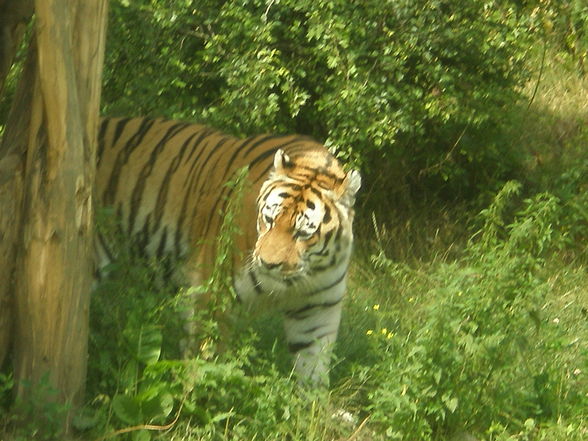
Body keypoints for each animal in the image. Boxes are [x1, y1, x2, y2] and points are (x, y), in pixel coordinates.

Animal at [94, 117, 360, 384]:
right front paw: (198, 391)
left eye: (303, 233)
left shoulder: (317, 311)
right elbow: (206, 360)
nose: (268, 264)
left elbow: (313, 373)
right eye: (269, 219)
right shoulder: (212, 295)